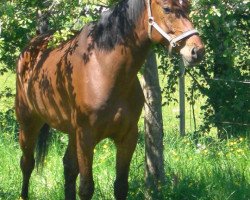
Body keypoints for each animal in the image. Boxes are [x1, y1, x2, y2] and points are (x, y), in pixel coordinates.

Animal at [15, 0, 203, 198]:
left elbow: (120, 186)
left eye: (188, 7)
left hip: (72, 133)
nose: (197, 50)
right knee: (27, 163)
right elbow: (86, 188)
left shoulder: (127, 137)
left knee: (68, 167)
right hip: (29, 123)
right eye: (167, 8)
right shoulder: (86, 137)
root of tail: (35, 43)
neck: (103, 69)